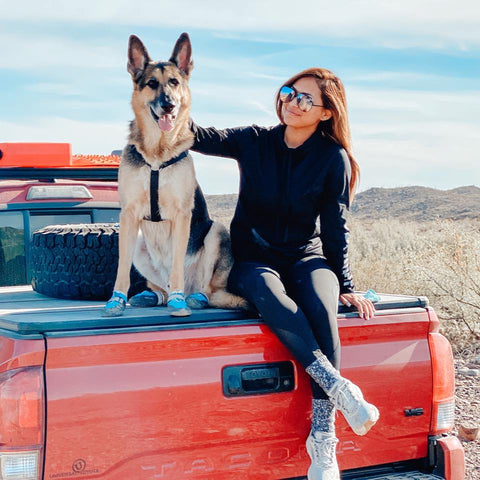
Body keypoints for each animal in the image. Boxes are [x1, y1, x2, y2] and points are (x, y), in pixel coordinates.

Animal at [101, 34, 244, 318]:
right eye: (152, 84)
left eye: (174, 82)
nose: (168, 105)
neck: (157, 154)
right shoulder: (128, 214)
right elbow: (121, 268)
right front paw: (116, 301)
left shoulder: (182, 214)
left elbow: (178, 262)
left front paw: (179, 306)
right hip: (139, 242)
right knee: (160, 287)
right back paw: (155, 296)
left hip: (216, 232)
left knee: (207, 289)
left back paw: (191, 298)